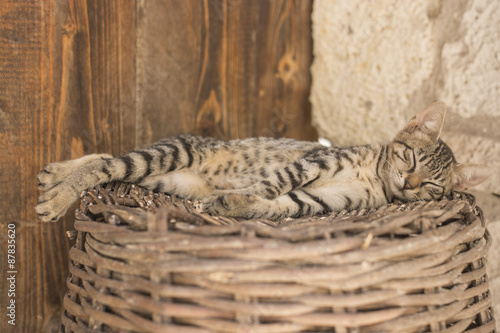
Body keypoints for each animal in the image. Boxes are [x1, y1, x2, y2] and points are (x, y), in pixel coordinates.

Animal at [36, 101, 492, 220]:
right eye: (411, 156)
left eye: (432, 185)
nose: (408, 183)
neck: (376, 177)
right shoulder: (315, 161)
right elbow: (275, 182)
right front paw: (235, 198)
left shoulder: (327, 201)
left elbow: (279, 203)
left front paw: (233, 203)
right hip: (172, 153)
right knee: (109, 163)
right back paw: (57, 193)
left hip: (164, 179)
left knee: (110, 161)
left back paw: (54, 174)